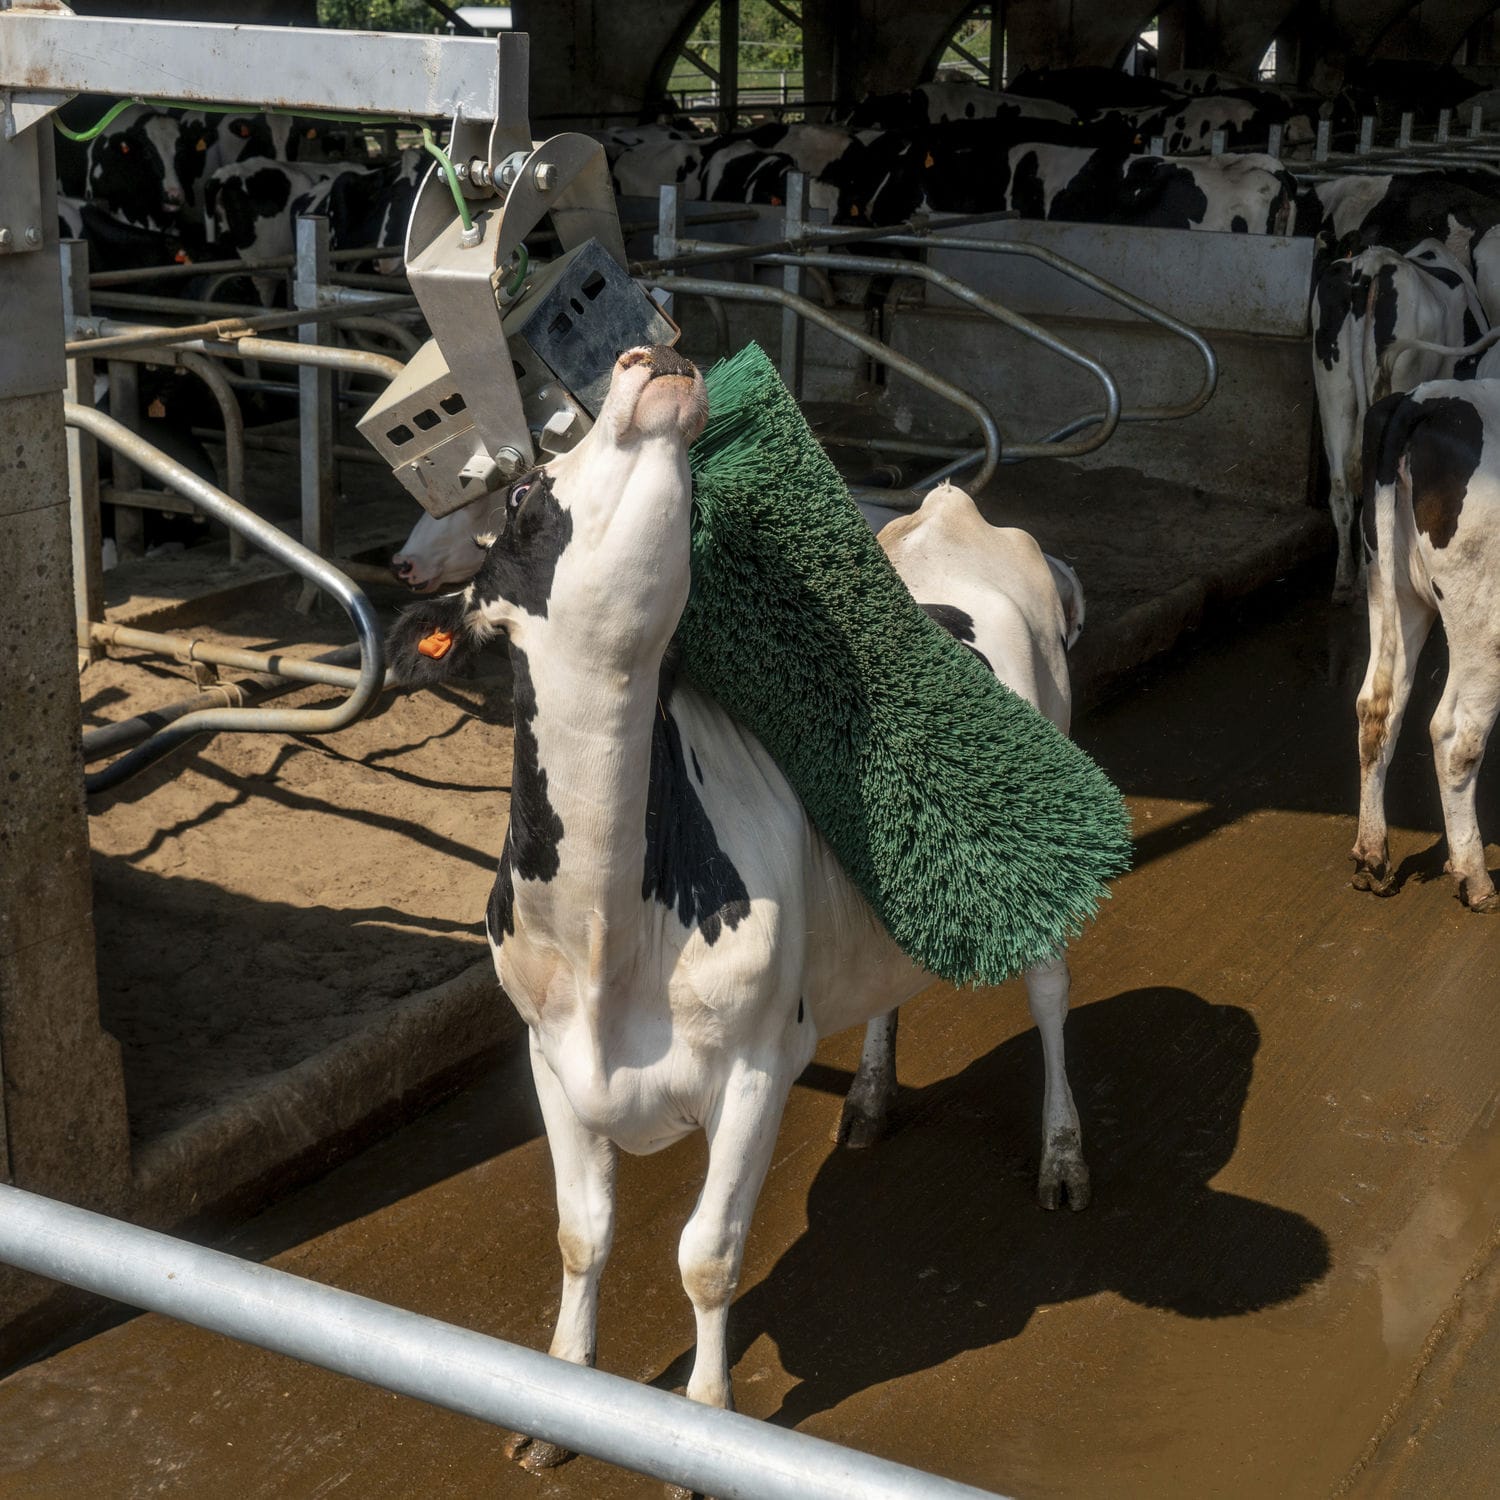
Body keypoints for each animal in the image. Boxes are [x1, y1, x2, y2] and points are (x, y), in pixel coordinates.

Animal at [385, 346, 1098, 1458]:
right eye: (526, 491)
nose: (646, 355)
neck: (605, 935)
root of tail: (951, 510)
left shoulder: (761, 1064)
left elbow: (707, 1255)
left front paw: (705, 1421)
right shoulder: (550, 1058)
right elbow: (582, 1236)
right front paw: (557, 1397)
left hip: (1047, 839)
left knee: (1053, 995)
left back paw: (1063, 1157)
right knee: (892, 981)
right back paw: (872, 1097)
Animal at [1352, 380, 1500, 913]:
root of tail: (1422, 397)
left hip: (1394, 588)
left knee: (1377, 706)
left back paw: (1373, 857)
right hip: (1485, 620)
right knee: (1456, 733)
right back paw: (1475, 879)